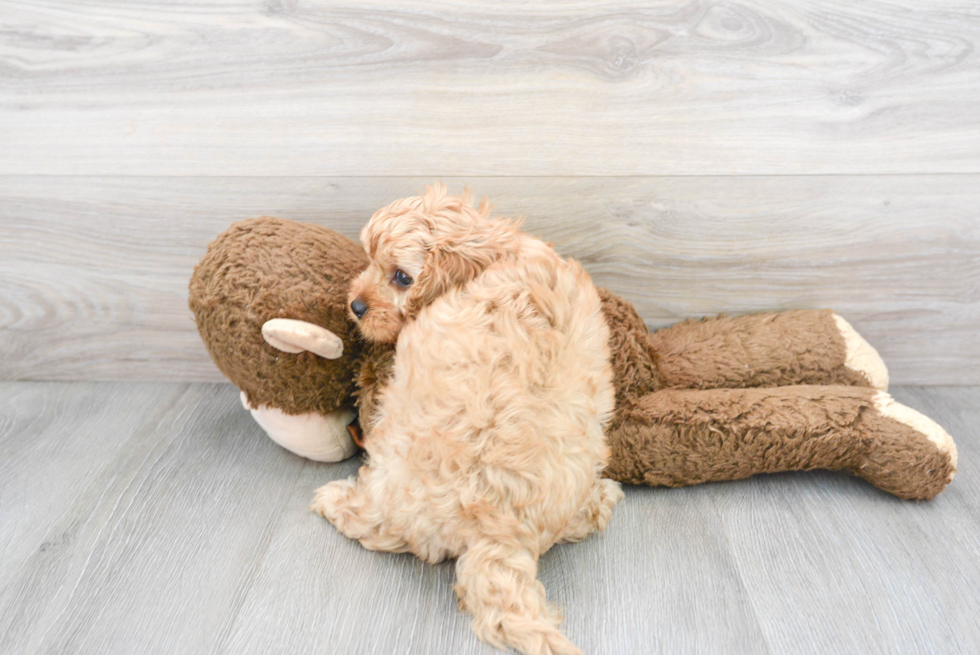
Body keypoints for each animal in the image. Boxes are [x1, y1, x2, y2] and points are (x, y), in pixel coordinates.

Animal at [310, 184, 624, 655]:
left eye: (401, 277)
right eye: (369, 258)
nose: (356, 305)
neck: (496, 253)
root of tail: (496, 535)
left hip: (392, 471)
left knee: (379, 526)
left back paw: (334, 501)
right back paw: (599, 502)